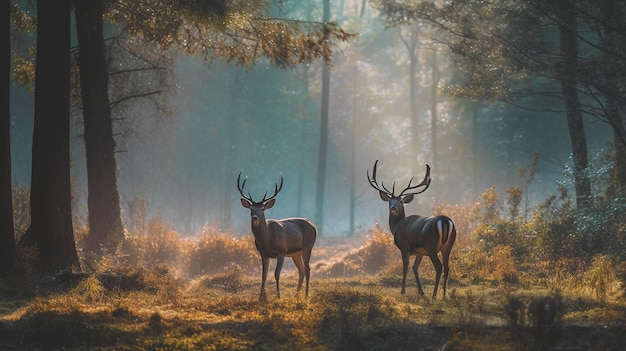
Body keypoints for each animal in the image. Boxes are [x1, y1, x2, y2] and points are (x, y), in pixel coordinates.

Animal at [235, 172, 314, 302]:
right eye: (251, 209)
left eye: (262, 209)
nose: (255, 217)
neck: (267, 240)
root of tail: (313, 225)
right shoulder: (263, 253)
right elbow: (264, 275)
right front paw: (261, 296)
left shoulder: (281, 251)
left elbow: (276, 274)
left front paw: (278, 295)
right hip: (295, 253)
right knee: (301, 270)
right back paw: (296, 295)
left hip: (308, 246)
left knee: (307, 269)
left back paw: (306, 295)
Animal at [366, 161, 454, 298]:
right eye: (390, 201)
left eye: (401, 201)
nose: (393, 207)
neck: (396, 227)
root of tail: (444, 221)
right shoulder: (419, 252)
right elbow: (414, 268)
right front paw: (421, 291)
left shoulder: (405, 247)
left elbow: (405, 268)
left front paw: (403, 291)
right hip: (448, 245)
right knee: (447, 267)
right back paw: (444, 294)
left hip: (431, 246)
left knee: (439, 266)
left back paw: (434, 294)